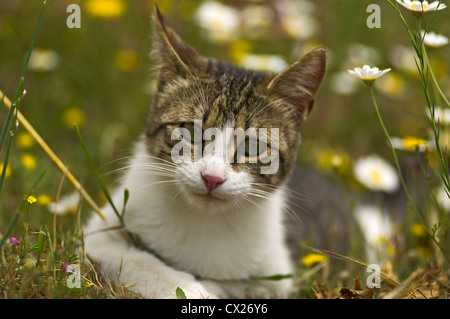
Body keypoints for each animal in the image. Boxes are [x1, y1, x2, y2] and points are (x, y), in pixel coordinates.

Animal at [82, 5, 326, 300]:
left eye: (252, 147)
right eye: (189, 130)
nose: (212, 178)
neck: (202, 219)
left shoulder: (279, 278)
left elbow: (243, 285)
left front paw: (208, 287)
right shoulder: (96, 237)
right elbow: (135, 260)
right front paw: (189, 289)